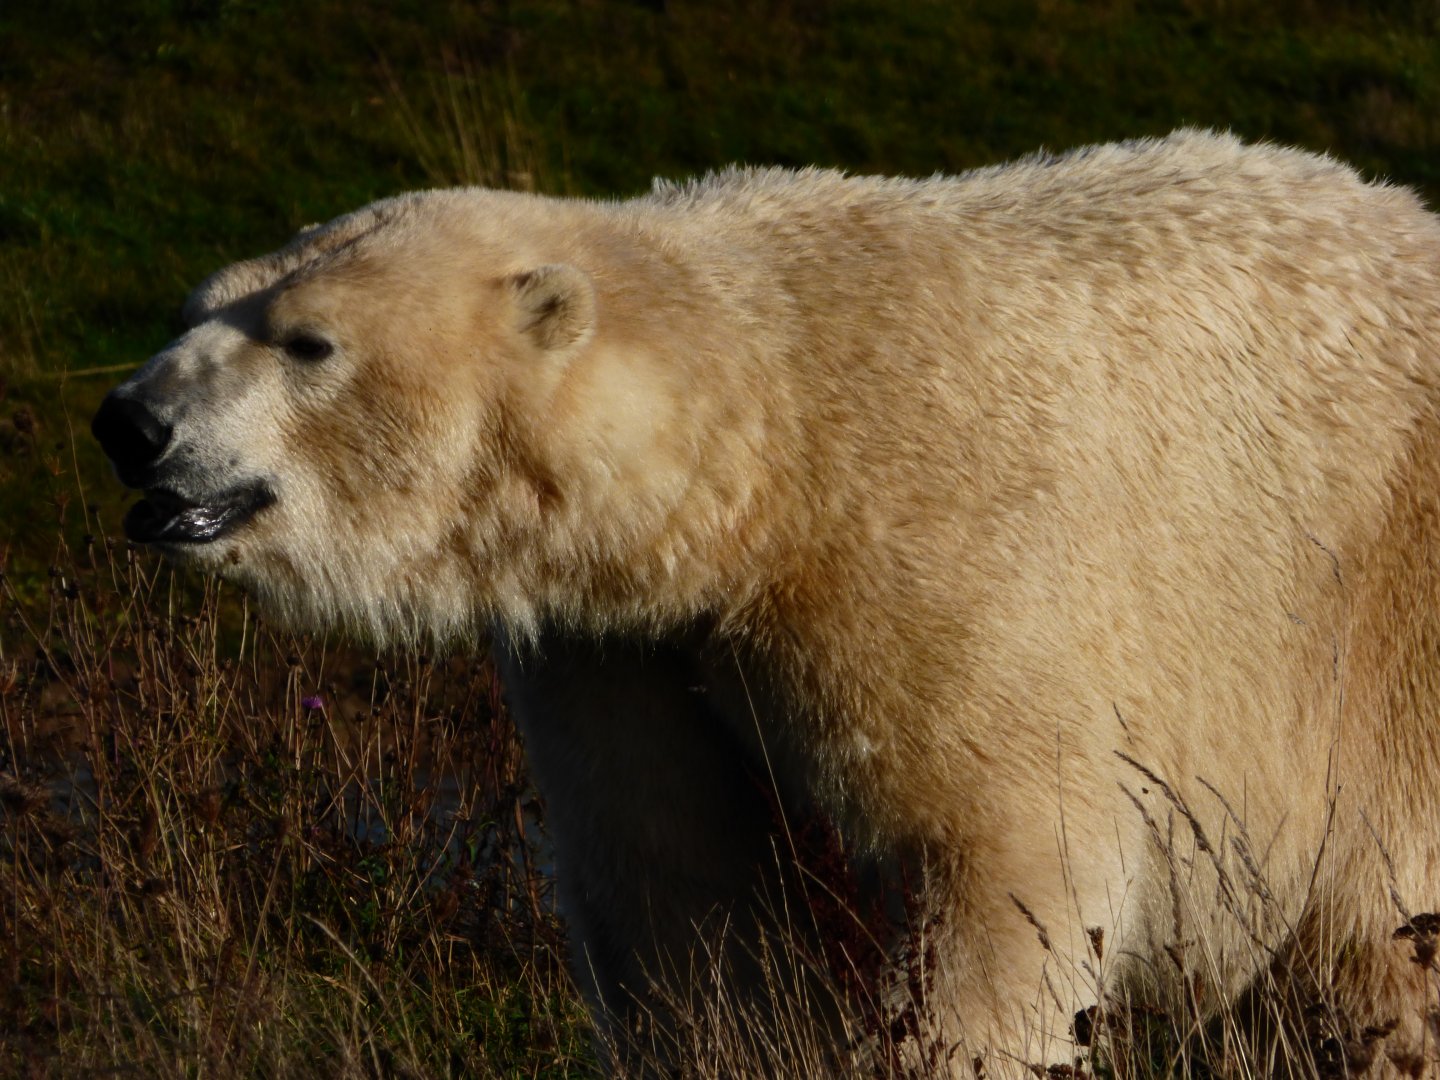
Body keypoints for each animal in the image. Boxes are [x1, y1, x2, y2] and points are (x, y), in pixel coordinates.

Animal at [92, 130, 1440, 1075]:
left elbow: (1008, 860)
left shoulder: (940, 551)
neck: (775, 436)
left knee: (1384, 939)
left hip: (1388, 631)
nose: (130, 422)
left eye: (308, 342)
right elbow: (685, 890)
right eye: (200, 305)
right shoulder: (628, 644)